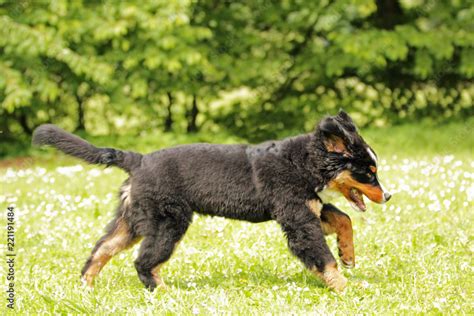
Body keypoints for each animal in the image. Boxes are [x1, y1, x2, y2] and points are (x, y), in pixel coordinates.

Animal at [32, 110, 388, 292]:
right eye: (368, 173)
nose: (388, 195)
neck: (303, 163)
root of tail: (138, 159)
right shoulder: (297, 218)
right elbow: (323, 258)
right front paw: (347, 287)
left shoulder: (308, 209)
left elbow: (344, 219)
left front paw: (348, 255)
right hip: (169, 221)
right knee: (143, 261)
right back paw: (164, 292)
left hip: (134, 219)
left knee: (102, 249)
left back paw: (85, 287)